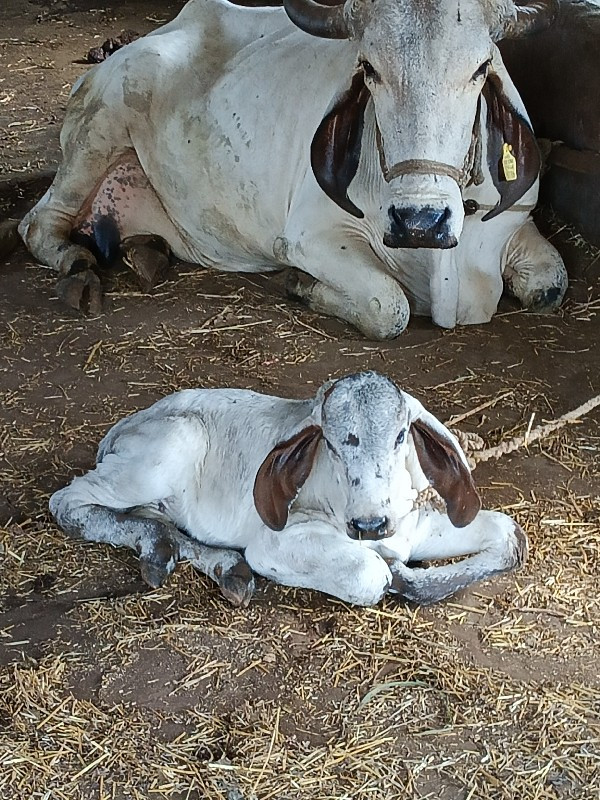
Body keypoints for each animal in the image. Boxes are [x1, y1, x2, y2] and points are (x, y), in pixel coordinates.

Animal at [17, 0, 568, 336]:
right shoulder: (309, 237)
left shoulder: (518, 221)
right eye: (368, 68)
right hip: (98, 131)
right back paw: (76, 266)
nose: (421, 222)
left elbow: (551, 284)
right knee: (36, 223)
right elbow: (390, 306)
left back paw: (146, 254)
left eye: (481, 68)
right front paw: (302, 285)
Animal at [52, 374, 528, 608]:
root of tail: (124, 425)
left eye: (399, 437)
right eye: (331, 443)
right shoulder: (273, 544)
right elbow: (370, 574)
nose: (370, 525)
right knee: (68, 502)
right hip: (165, 450)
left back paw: (219, 565)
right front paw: (394, 573)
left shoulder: (414, 525)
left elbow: (510, 535)